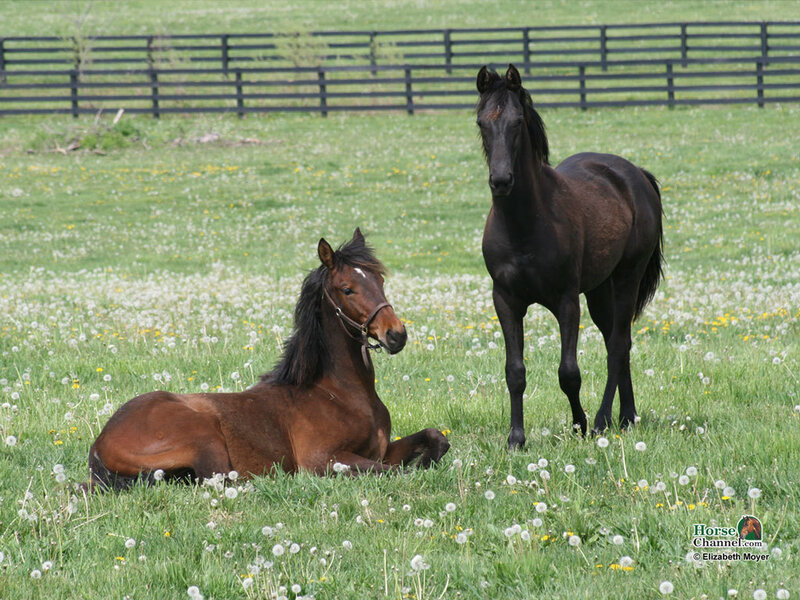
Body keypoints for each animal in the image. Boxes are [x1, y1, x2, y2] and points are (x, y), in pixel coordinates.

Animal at [88, 228, 450, 489]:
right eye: (348, 289)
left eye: (380, 280)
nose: (396, 334)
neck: (337, 393)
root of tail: (100, 442)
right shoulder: (322, 459)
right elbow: (392, 471)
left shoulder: (382, 449)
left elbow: (435, 438)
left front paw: (426, 461)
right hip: (204, 435)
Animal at [476, 64, 664, 449]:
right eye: (482, 122)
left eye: (518, 121)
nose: (501, 180)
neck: (525, 224)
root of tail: (636, 174)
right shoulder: (505, 300)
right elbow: (515, 371)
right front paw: (516, 438)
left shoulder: (566, 301)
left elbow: (569, 372)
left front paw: (580, 424)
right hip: (600, 289)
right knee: (617, 341)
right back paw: (627, 416)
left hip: (627, 277)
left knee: (618, 344)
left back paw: (605, 420)